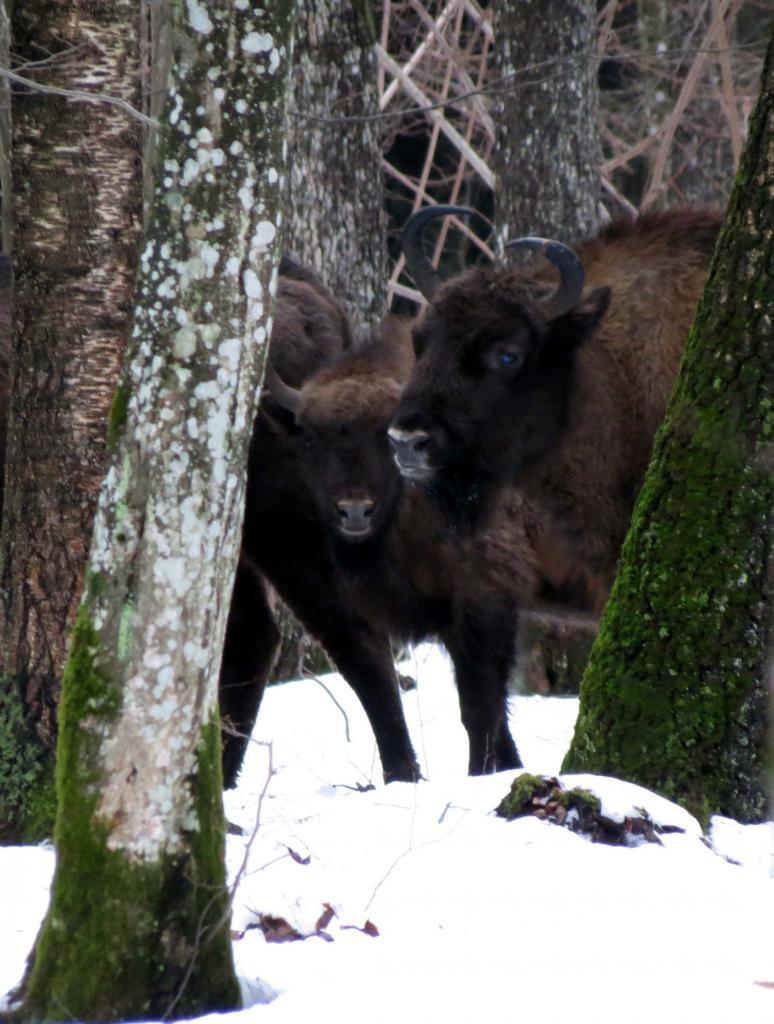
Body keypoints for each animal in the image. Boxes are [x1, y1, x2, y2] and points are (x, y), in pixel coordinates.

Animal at [264, 315, 536, 770]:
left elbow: (480, 707)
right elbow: (382, 702)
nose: (355, 511)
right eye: (310, 437)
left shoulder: (483, 600)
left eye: (384, 435)